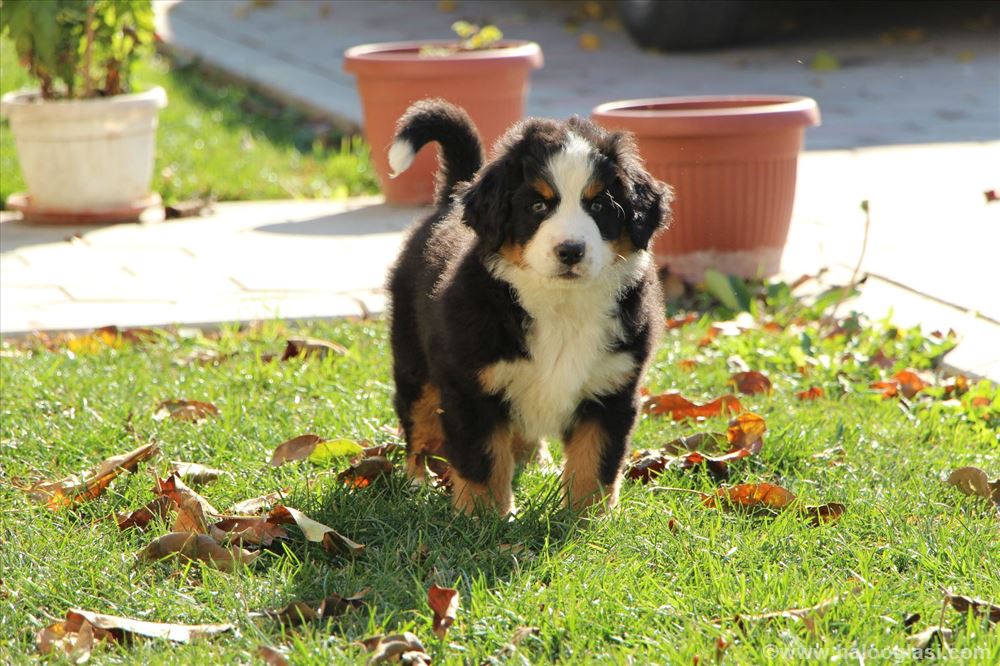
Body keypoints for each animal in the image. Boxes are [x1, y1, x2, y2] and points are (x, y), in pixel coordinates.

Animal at [388, 97, 672, 512]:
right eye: (538, 206)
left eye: (600, 205)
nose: (570, 250)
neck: (561, 304)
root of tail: (450, 198)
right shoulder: (471, 386)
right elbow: (483, 461)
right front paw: (484, 517)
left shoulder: (612, 388)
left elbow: (595, 461)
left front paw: (587, 517)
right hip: (414, 359)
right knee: (418, 420)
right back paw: (415, 481)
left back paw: (534, 461)